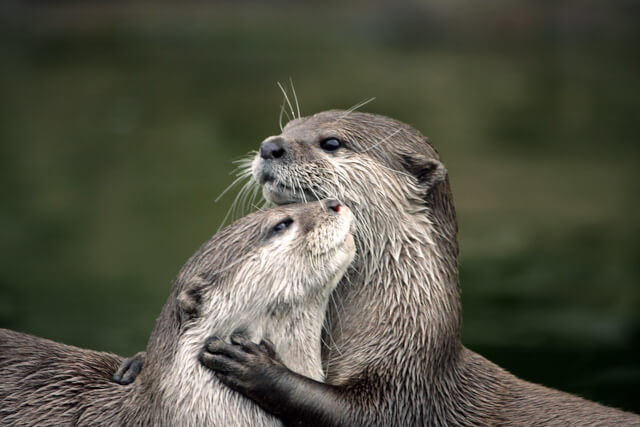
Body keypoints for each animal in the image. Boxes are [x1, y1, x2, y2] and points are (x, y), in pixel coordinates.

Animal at [192, 112, 636, 426]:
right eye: (287, 128)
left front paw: (256, 366)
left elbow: (353, 413)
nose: (270, 146)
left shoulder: (407, 388)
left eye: (331, 142)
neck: (407, 324)